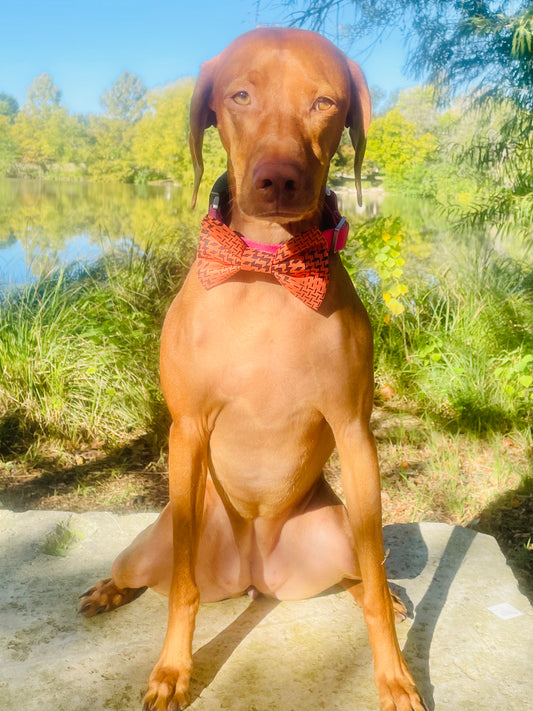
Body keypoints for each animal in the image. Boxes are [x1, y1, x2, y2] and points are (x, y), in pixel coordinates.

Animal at [78, 27, 424, 711]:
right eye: (240, 95)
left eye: (325, 102)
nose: (278, 180)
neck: (269, 267)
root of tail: (257, 577)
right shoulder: (186, 430)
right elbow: (182, 592)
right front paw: (172, 672)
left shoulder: (355, 433)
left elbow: (372, 588)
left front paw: (395, 676)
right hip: (153, 544)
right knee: (147, 573)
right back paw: (108, 589)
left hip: (340, 529)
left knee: (361, 577)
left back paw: (391, 599)